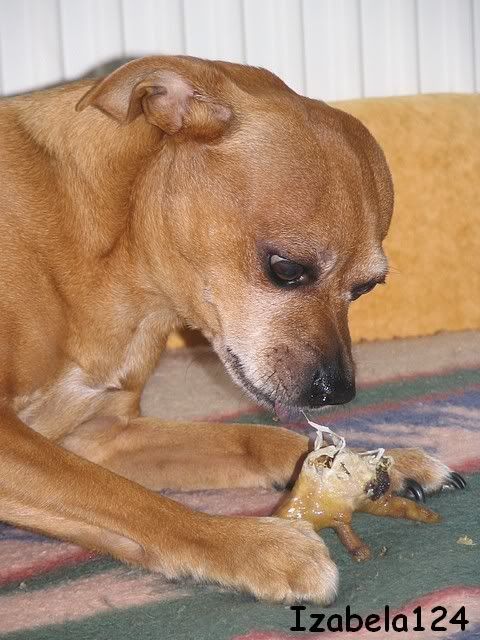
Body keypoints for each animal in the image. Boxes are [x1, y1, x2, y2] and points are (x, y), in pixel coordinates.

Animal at [0, 55, 465, 604]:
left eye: (365, 289)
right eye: (286, 269)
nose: (338, 392)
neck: (112, 250)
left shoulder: (103, 437)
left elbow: (258, 438)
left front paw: (382, 464)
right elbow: (131, 501)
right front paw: (256, 545)